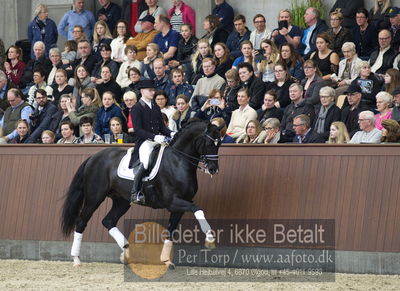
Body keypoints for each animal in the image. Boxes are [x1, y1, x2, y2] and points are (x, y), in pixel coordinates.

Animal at [60, 120, 222, 268]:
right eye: (210, 143)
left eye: (219, 143)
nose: (213, 169)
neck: (178, 161)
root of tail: (93, 157)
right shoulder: (173, 202)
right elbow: (198, 209)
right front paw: (210, 238)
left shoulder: (180, 205)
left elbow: (171, 230)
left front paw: (166, 260)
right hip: (94, 197)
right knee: (82, 221)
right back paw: (76, 259)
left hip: (121, 201)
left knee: (108, 221)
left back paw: (126, 253)